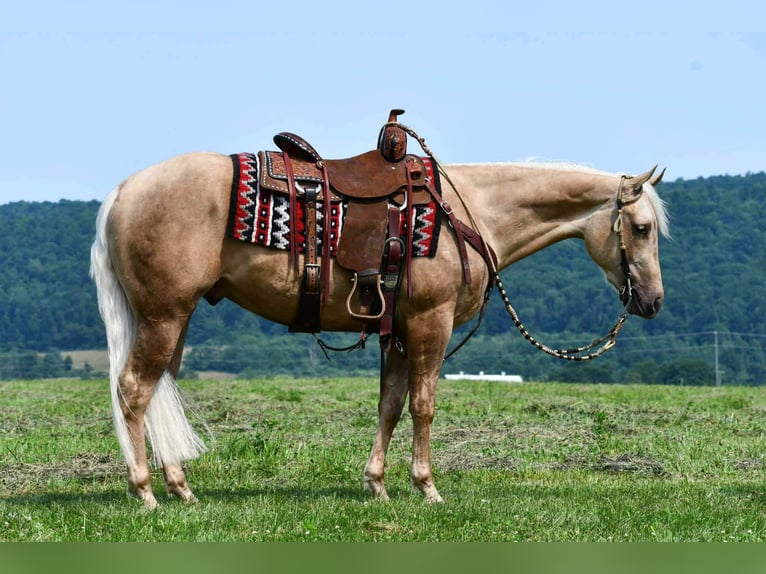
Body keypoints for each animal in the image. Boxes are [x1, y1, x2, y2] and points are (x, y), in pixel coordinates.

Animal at [90, 147, 668, 509]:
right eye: (641, 228)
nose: (654, 301)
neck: (468, 213)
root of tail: (123, 191)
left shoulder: (400, 331)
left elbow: (390, 404)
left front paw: (377, 484)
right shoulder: (430, 322)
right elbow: (423, 405)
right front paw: (427, 486)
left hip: (173, 318)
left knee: (160, 389)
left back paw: (180, 487)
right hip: (164, 315)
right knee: (135, 390)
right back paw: (144, 491)